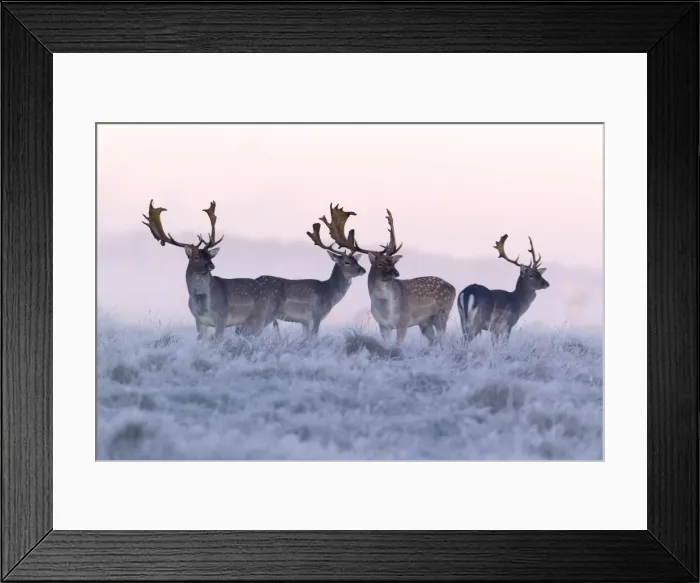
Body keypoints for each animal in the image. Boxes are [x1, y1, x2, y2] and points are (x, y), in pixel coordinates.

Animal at [142, 199, 281, 340]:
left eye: (209, 255)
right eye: (196, 257)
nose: (211, 266)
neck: (203, 305)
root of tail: (269, 292)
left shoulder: (222, 317)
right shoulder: (199, 320)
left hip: (260, 317)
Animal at [250, 205, 367, 336]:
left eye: (356, 260)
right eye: (347, 262)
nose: (363, 270)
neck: (329, 293)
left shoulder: (304, 322)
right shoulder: (316, 315)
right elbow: (313, 338)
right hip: (267, 311)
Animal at [322, 204, 456, 346]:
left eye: (392, 262)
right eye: (380, 264)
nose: (396, 272)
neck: (386, 310)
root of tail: (453, 288)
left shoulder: (404, 321)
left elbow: (398, 345)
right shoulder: (383, 325)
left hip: (442, 313)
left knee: (443, 340)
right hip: (425, 322)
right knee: (433, 341)